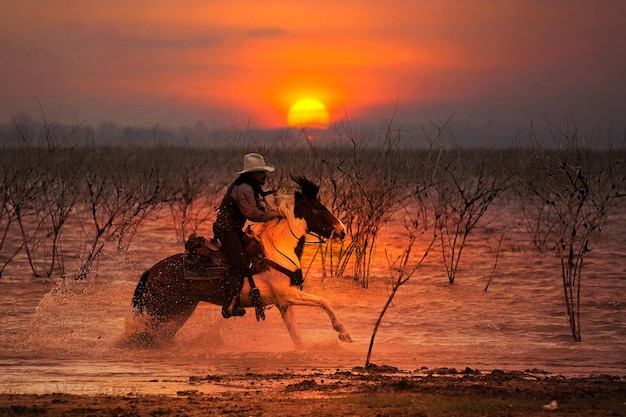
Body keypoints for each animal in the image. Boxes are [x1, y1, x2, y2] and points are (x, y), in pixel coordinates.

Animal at [128, 176, 352, 348]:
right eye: (318, 208)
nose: (342, 230)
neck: (278, 249)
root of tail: (152, 271)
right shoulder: (288, 295)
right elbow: (324, 301)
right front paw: (343, 333)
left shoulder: (284, 302)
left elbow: (296, 335)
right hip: (162, 311)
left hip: (181, 310)